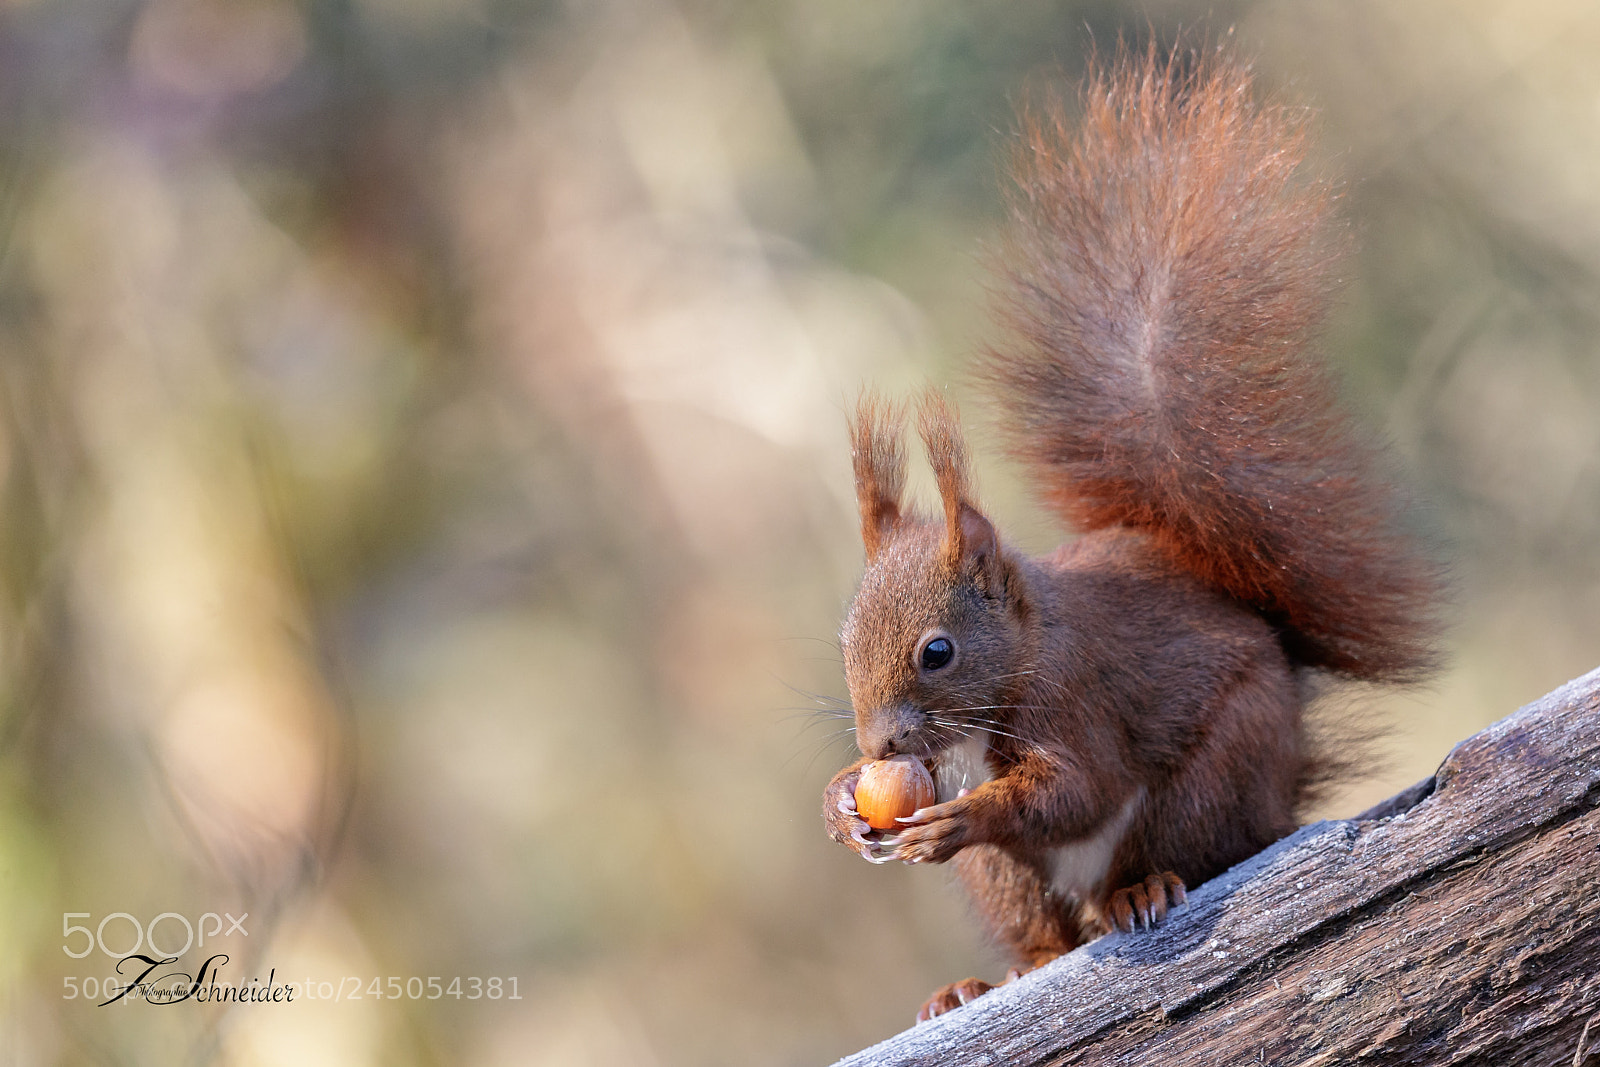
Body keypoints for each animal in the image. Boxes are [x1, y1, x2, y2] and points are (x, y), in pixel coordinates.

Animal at [820, 43, 1441, 1024]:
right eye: (842, 641)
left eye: (938, 651)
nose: (878, 748)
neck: (1026, 652)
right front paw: (842, 801)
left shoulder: (1078, 700)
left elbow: (1076, 789)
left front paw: (967, 813)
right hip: (1007, 883)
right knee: (1043, 936)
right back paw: (983, 982)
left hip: (1213, 776)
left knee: (1169, 852)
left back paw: (1139, 892)